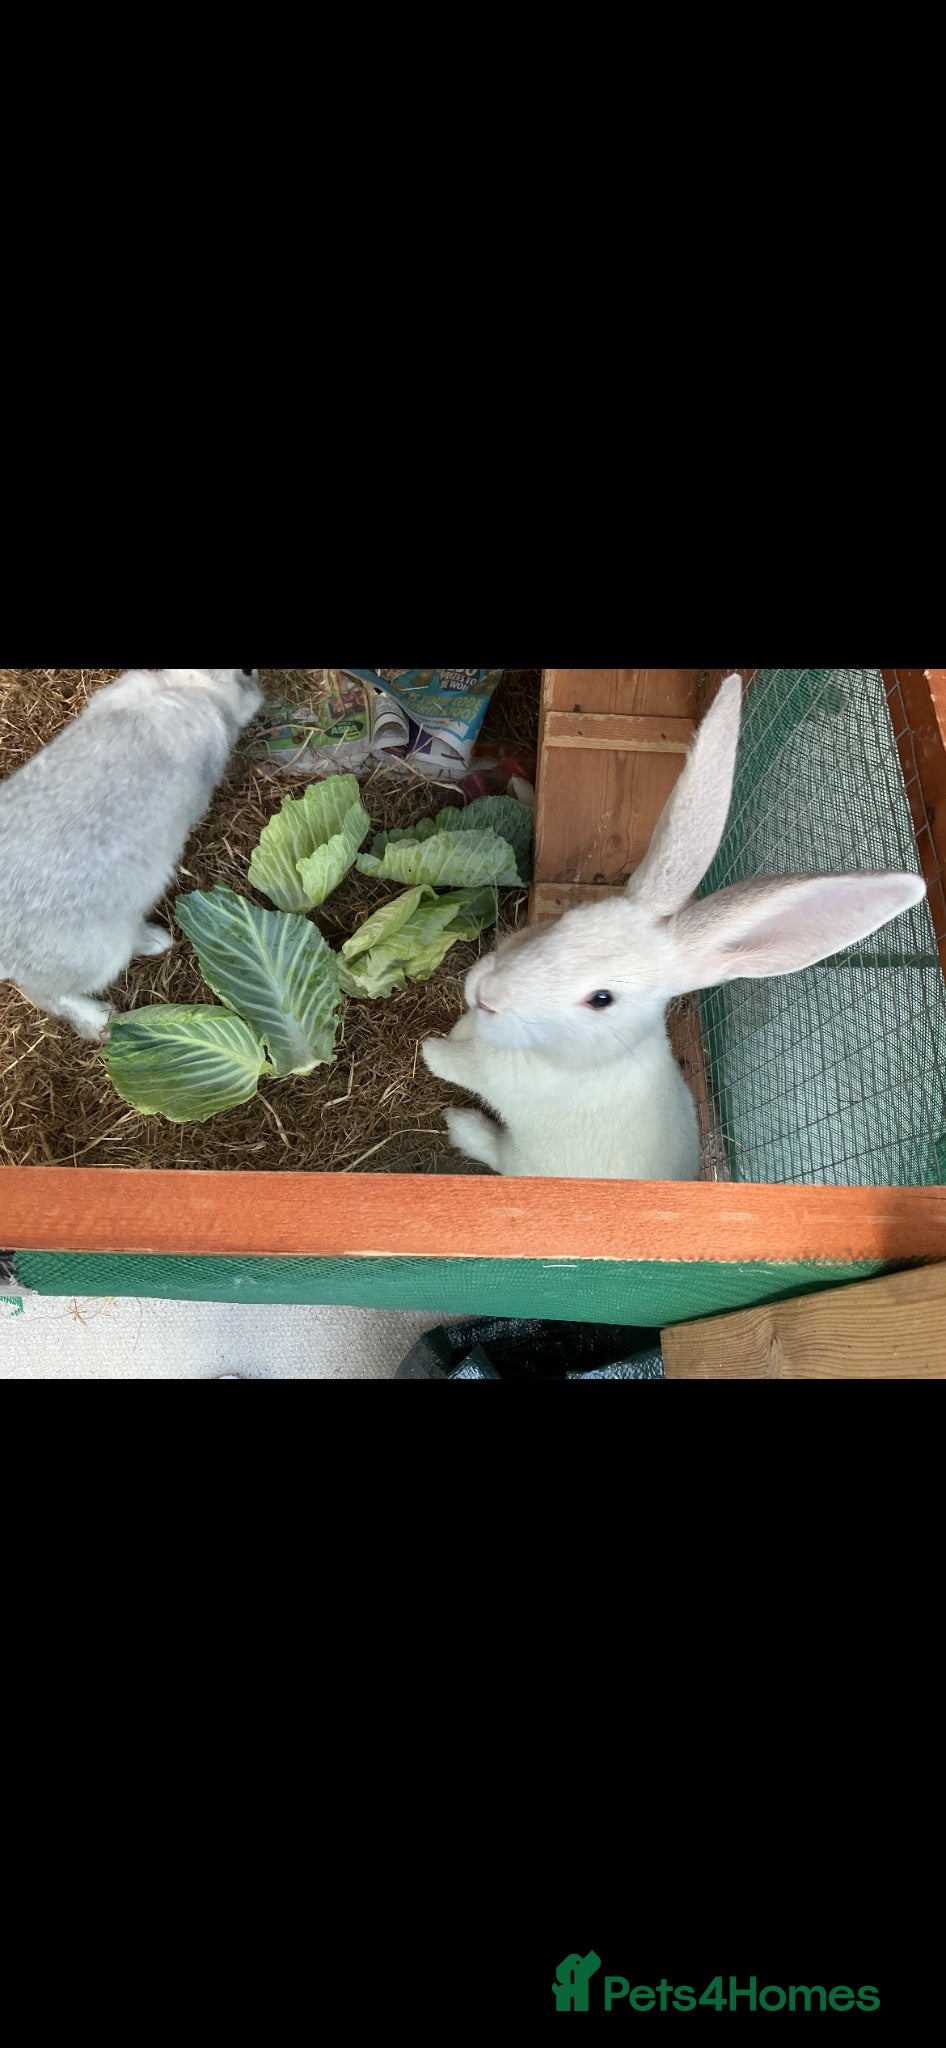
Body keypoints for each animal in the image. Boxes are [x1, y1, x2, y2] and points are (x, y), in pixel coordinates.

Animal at [422, 673, 928, 1179]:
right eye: (567, 919)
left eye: (602, 999)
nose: (486, 994)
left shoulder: (495, 1073)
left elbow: (454, 1063)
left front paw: (428, 1049)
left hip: (525, 1160)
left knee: (498, 1152)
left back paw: (462, 1124)